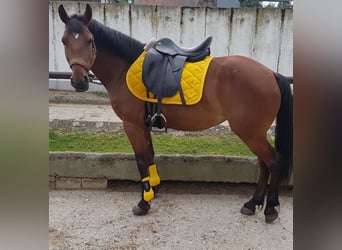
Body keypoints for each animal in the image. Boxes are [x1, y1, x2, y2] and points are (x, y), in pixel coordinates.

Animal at [58, 3, 292, 223]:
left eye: (90, 40)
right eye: (64, 41)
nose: (79, 82)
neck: (124, 69)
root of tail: (271, 73)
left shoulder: (132, 125)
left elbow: (141, 161)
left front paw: (143, 203)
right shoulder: (144, 125)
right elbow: (149, 156)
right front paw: (153, 190)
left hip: (250, 132)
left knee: (273, 161)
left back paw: (270, 208)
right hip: (254, 133)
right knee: (263, 163)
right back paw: (253, 203)